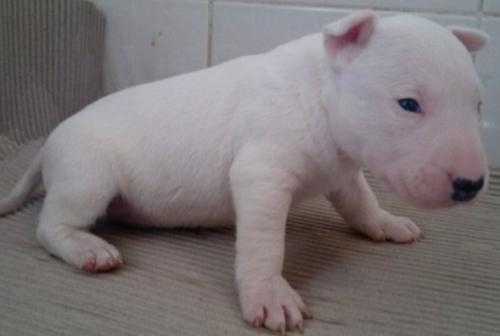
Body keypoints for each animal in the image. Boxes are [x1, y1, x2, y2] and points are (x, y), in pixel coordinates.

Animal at [0, 11, 490, 334]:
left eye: (478, 104)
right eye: (408, 103)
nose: (472, 185)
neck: (315, 92)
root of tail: (49, 142)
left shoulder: (342, 173)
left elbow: (361, 203)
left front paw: (387, 224)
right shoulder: (261, 175)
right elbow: (265, 245)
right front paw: (271, 297)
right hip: (88, 175)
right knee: (50, 226)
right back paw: (89, 249)